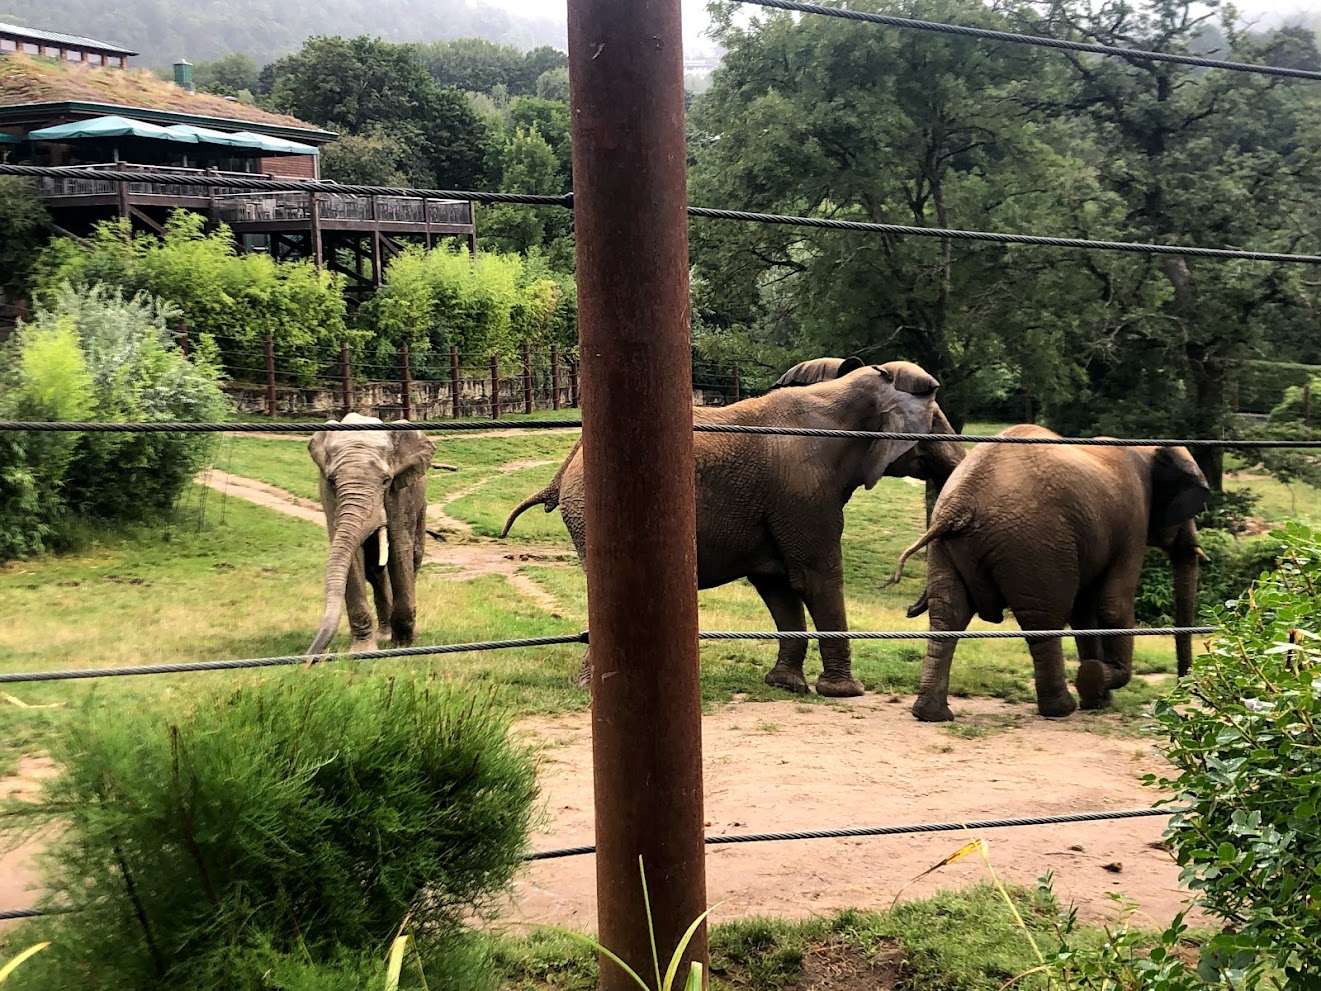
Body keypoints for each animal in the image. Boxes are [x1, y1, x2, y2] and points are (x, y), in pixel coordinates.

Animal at [306, 412, 436, 657]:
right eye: (332, 481)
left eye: (385, 481)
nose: (309, 658)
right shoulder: (328, 494)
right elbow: (352, 557)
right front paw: (363, 650)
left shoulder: (401, 491)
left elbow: (400, 548)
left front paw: (404, 645)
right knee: (375, 571)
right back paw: (383, 635)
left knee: (412, 557)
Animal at [500, 359, 955, 697]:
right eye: (936, 424)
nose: (907, 606)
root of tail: (569, 459)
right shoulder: (805, 491)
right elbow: (814, 577)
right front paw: (845, 692)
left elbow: (779, 584)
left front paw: (786, 685)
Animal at [885, 424, 1210, 722]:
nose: (1185, 694)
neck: (1147, 448)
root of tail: (961, 503)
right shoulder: (1133, 519)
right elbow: (1112, 605)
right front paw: (1097, 683)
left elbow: (1084, 613)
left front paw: (1098, 699)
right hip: (1036, 543)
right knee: (1044, 619)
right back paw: (1060, 709)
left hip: (949, 546)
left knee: (948, 614)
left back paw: (931, 714)